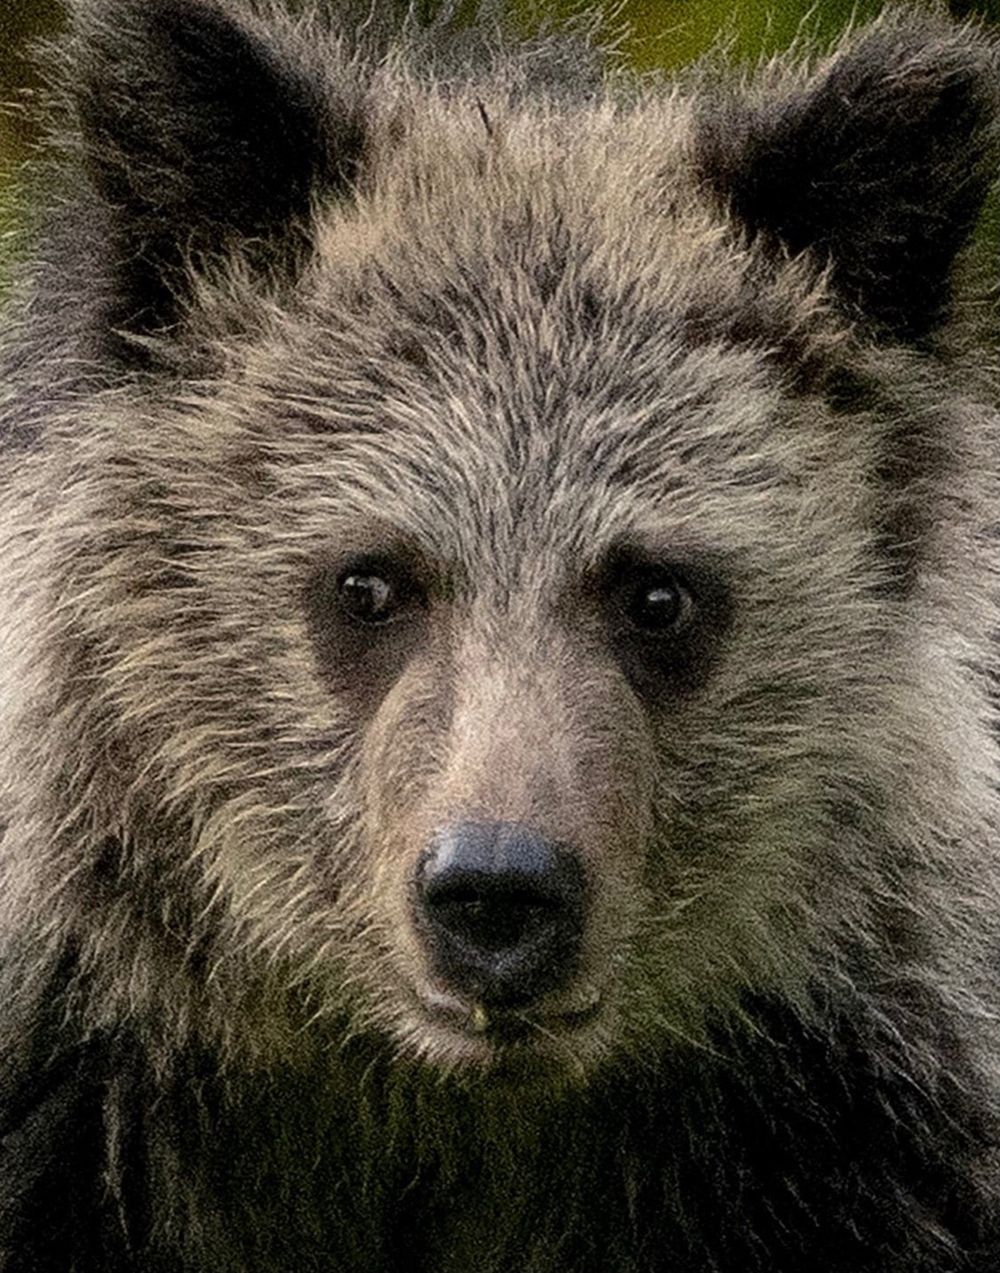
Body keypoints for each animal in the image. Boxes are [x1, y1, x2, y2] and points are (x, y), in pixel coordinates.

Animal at [0, 0, 999, 1269]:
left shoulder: (865, 1136)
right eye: (369, 583)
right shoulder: (73, 1113)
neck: (428, 1101)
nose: (497, 890)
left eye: (656, 593)